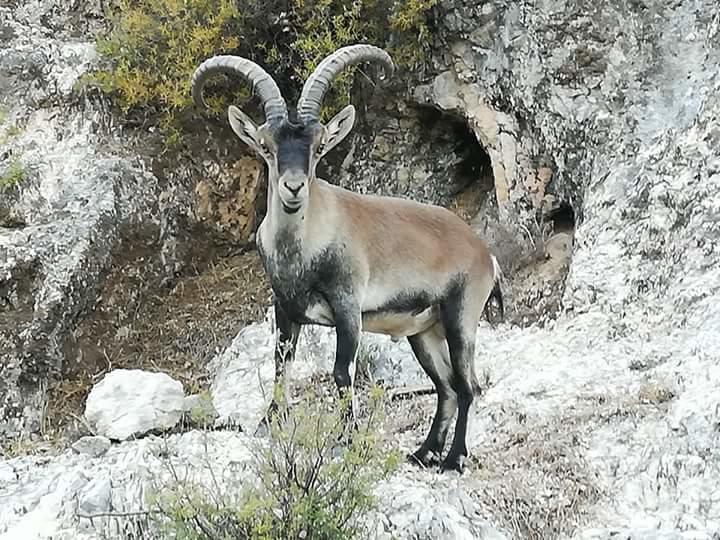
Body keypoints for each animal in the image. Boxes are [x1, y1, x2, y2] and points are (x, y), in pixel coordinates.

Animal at [191, 43, 506, 472]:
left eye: (318, 147)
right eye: (267, 146)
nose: (293, 187)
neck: (303, 252)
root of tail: (484, 253)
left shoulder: (347, 307)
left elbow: (342, 373)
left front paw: (349, 441)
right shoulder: (285, 309)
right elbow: (280, 366)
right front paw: (268, 425)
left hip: (461, 315)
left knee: (467, 384)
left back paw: (453, 458)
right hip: (424, 332)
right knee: (446, 387)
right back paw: (423, 452)